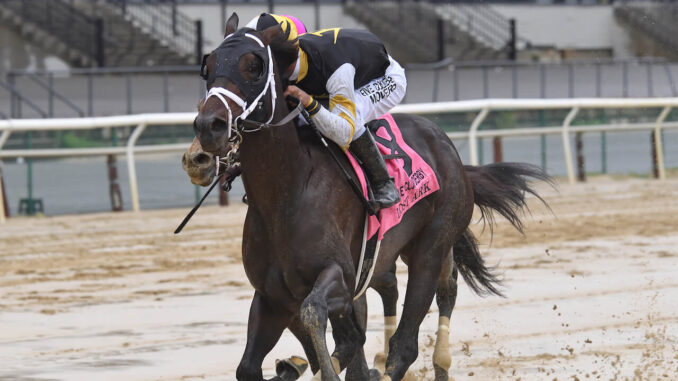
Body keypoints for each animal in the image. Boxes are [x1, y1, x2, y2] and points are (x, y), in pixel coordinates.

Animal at [187, 13, 552, 378]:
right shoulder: (272, 297)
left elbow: (319, 316)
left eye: (254, 66)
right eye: (209, 67)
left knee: (408, 341)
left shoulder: (341, 278)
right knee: (401, 292)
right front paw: (297, 365)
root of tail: (450, 150)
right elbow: (252, 366)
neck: (284, 196)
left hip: (431, 247)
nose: (208, 127)